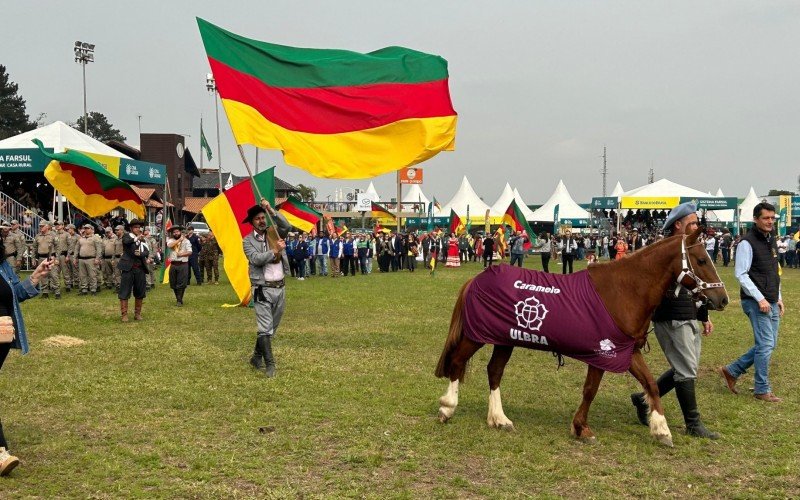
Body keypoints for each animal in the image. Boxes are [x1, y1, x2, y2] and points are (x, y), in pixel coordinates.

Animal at [434, 227, 728, 446]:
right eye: (702, 260)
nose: (722, 298)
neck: (625, 290)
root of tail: (477, 279)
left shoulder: (625, 351)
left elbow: (651, 385)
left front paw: (661, 429)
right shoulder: (602, 352)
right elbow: (590, 390)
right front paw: (581, 428)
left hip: (505, 340)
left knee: (494, 371)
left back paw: (499, 418)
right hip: (477, 337)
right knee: (458, 363)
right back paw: (448, 407)